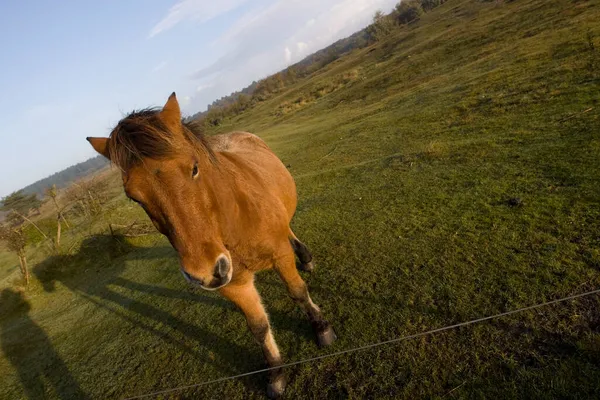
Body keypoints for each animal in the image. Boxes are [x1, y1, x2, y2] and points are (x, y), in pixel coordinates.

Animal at [85, 93, 338, 396]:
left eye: (194, 168)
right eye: (134, 197)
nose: (204, 273)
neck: (235, 221)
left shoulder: (280, 256)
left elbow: (298, 292)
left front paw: (322, 329)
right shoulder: (233, 284)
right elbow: (258, 326)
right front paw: (276, 372)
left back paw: (306, 257)